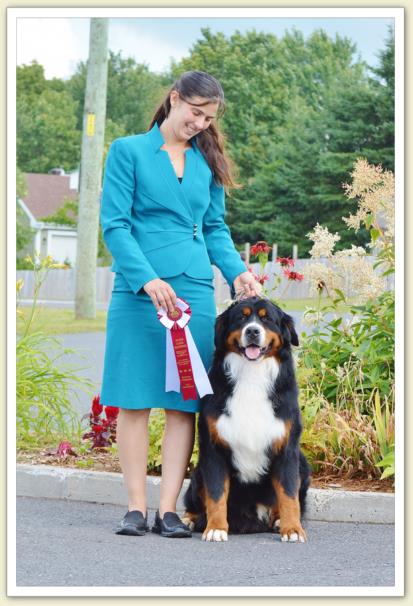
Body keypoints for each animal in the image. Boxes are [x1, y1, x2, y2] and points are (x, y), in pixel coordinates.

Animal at [183, 300, 308, 548]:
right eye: (242, 318)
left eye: (266, 318)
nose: (252, 331)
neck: (252, 376)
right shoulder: (213, 449)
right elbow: (216, 493)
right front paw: (216, 528)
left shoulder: (288, 449)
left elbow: (289, 493)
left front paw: (292, 529)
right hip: (198, 471)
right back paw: (189, 519)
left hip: (304, 465)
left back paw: (278, 521)